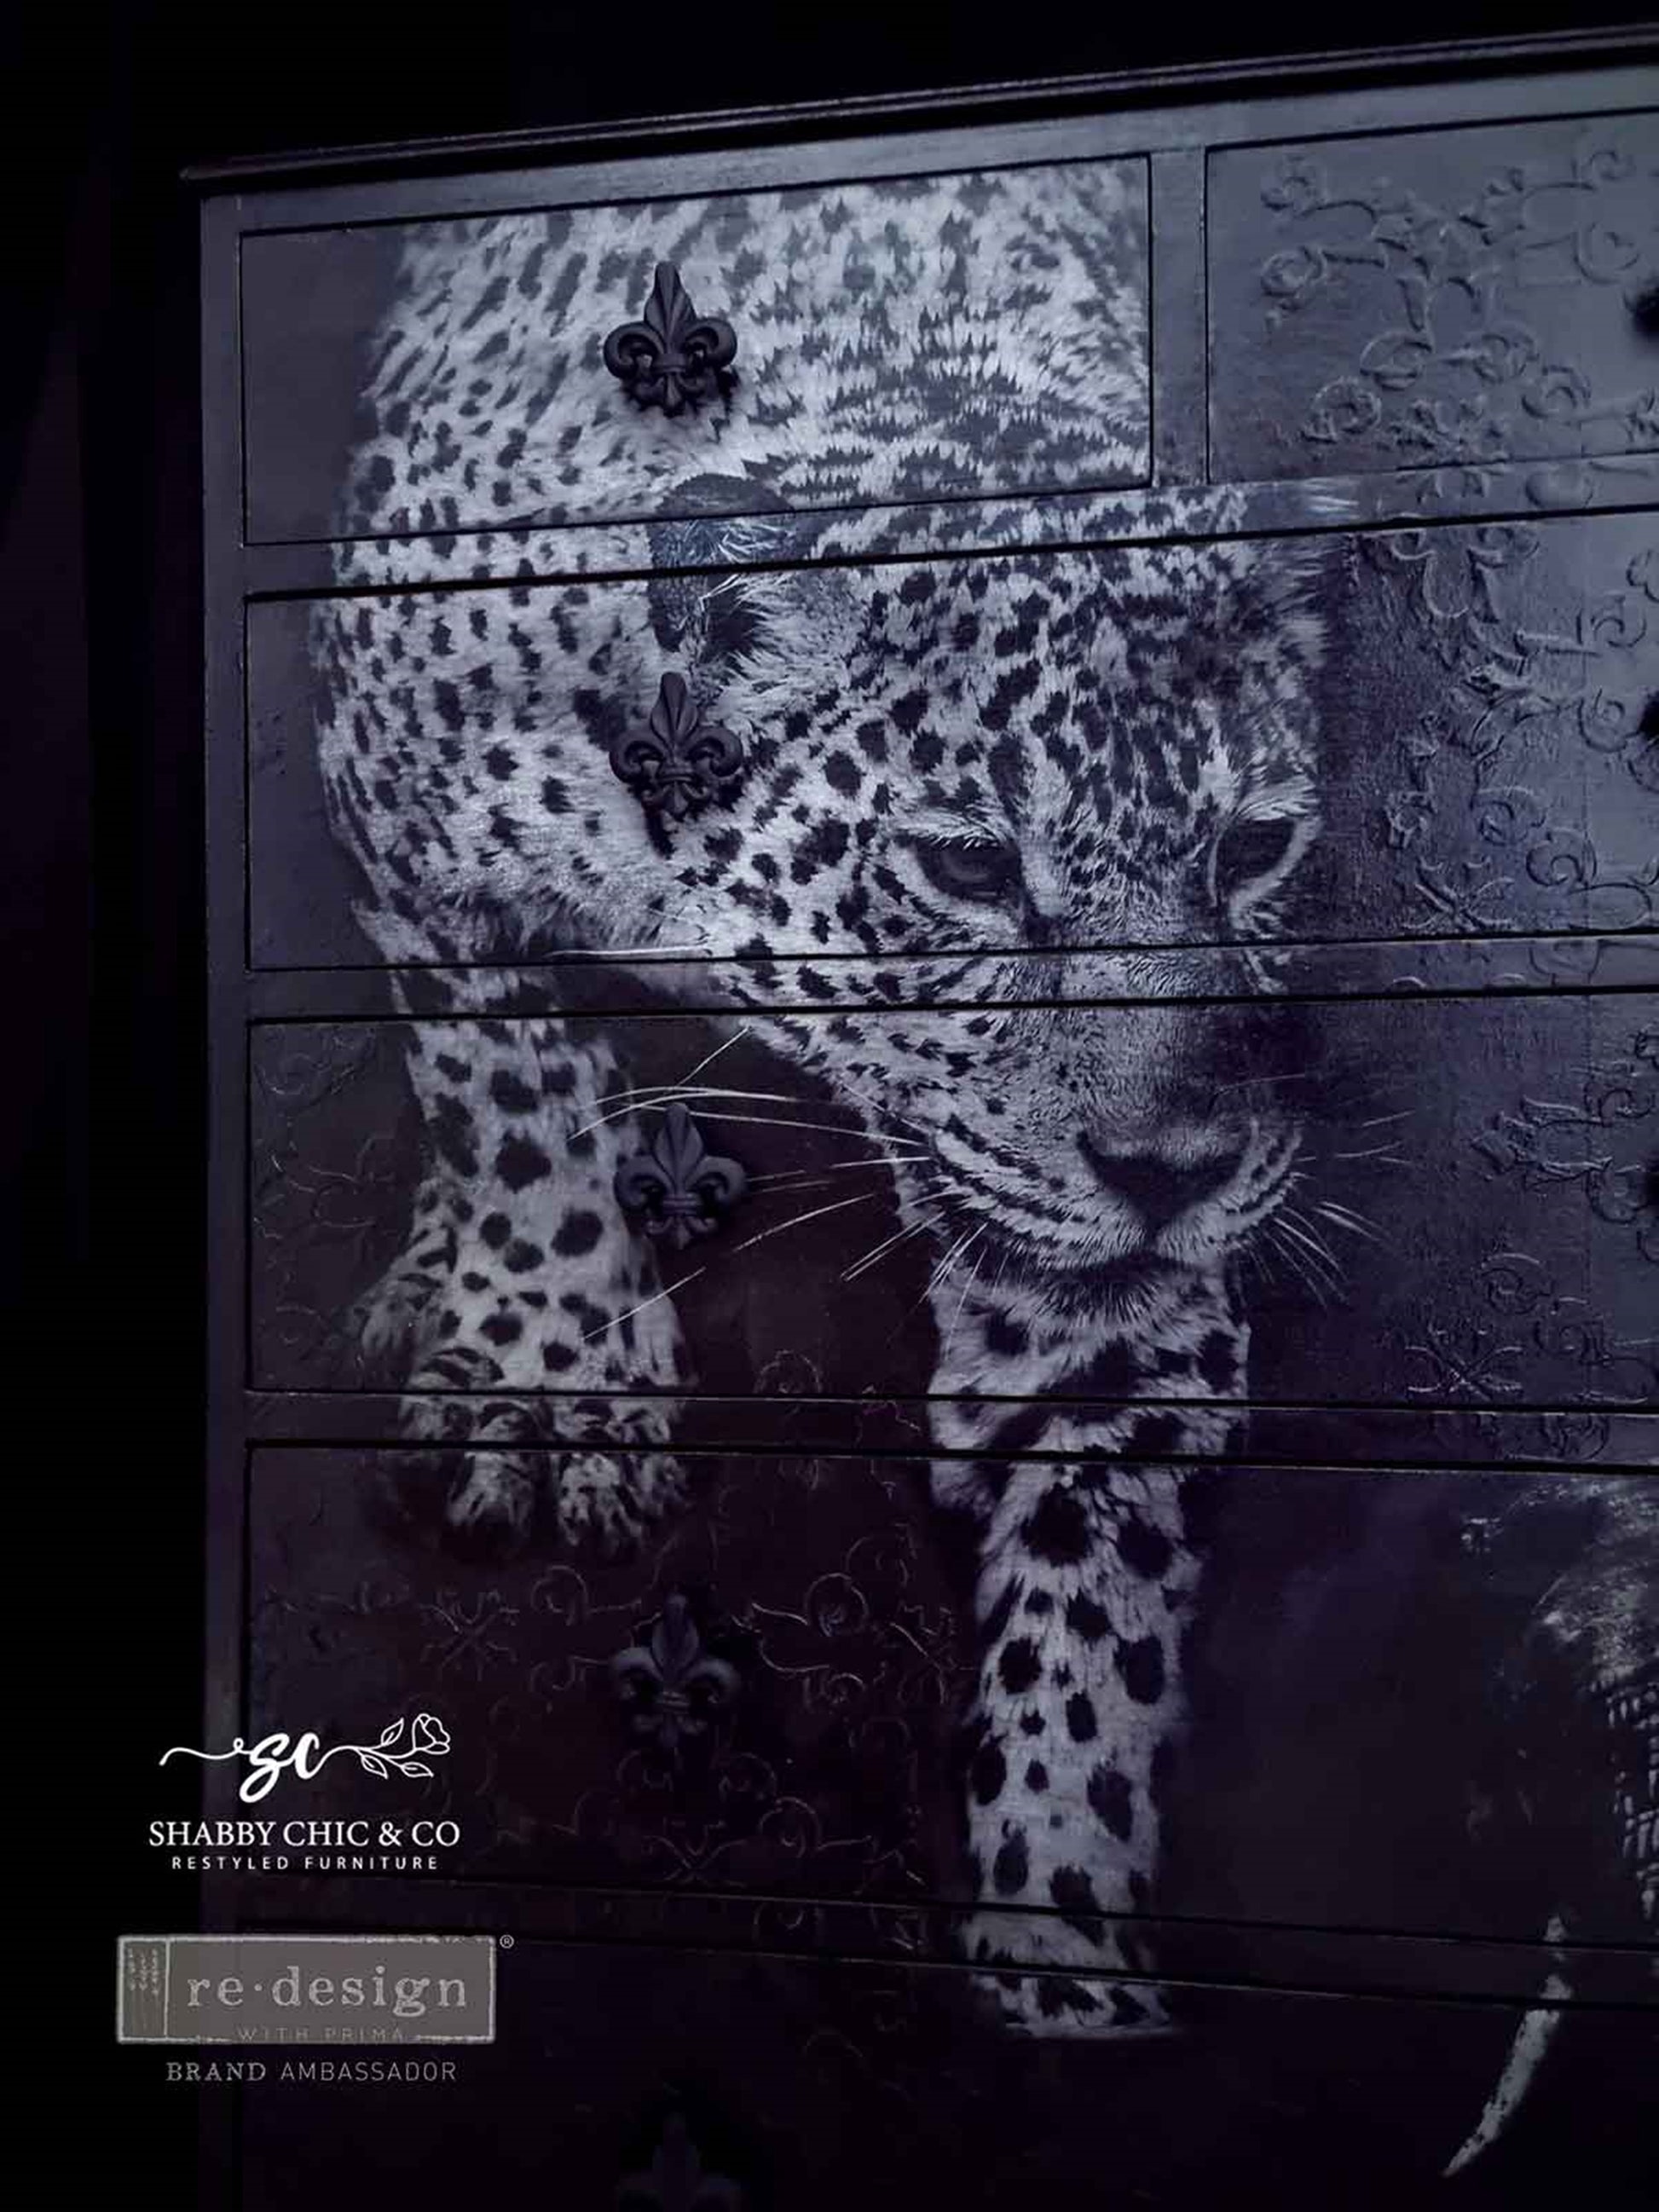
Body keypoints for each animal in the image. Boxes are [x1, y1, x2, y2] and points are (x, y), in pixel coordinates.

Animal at [303, 182, 1654, 2126]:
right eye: (964, 869)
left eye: (1250, 850)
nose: (1173, 1171)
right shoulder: (392, 780)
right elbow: (500, 1082)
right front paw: (555, 1385)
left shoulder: (1096, 1304)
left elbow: (1091, 1622)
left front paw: (1061, 1970)